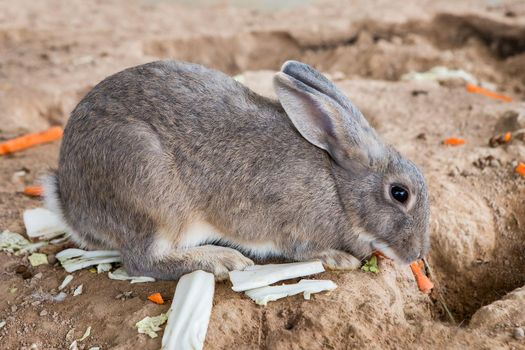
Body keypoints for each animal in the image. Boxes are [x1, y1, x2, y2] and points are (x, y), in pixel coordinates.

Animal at [43, 59, 428, 278]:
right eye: (399, 193)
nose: (418, 255)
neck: (339, 188)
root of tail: (71, 204)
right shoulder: (295, 228)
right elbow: (304, 250)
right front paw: (341, 259)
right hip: (151, 193)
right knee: (143, 261)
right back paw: (220, 261)